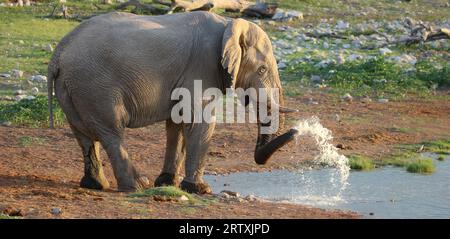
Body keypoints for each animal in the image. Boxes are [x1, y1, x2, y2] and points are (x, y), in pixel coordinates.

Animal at [48, 10, 298, 194]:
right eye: (262, 69)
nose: (296, 130)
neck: (229, 25)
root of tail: (58, 53)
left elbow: (177, 122)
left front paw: (168, 182)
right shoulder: (201, 67)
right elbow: (200, 122)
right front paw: (199, 189)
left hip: (74, 88)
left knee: (84, 135)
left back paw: (97, 185)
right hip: (95, 86)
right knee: (111, 133)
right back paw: (136, 186)